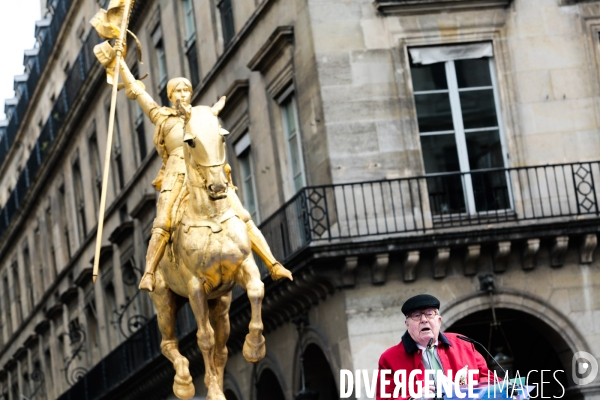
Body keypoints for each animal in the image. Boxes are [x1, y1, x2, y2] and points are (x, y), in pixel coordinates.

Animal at [150, 97, 270, 400]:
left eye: (222, 136)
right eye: (190, 141)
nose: (218, 186)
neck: (211, 217)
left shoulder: (243, 266)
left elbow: (256, 291)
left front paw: (254, 346)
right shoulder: (195, 287)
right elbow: (204, 338)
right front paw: (214, 391)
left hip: (221, 301)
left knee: (223, 344)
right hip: (164, 299)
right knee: (168, 344)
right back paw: (184, 382)